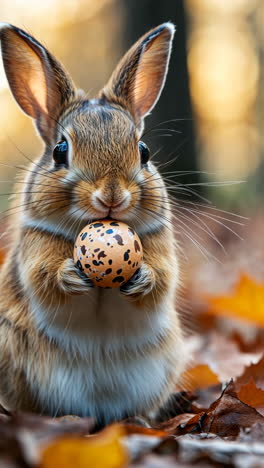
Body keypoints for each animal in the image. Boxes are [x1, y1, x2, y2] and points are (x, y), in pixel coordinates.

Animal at [0, 21, 187, 424]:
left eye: (144, 151)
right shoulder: (35, 249)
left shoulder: (159, 243)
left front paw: (142, 279)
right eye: (60, 151)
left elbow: (162, 277)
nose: (112, 195)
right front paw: (71, 276)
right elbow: (44, 277)